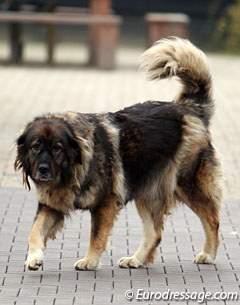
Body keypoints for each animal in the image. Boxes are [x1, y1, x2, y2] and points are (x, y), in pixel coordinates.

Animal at [14, 36, 221, 270]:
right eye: (36, 146)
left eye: (57, 148)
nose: (43, 169)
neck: (73, 170)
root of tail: (189, 108)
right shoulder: (52, 205)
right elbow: (35, 230)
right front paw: (34, 257)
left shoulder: (105, 203)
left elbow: (96, 235)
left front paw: (90, 260)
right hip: (148, 191)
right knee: (154, 232)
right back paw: (136, 259)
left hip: (187, 183)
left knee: (212, 220)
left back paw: (208, 254)